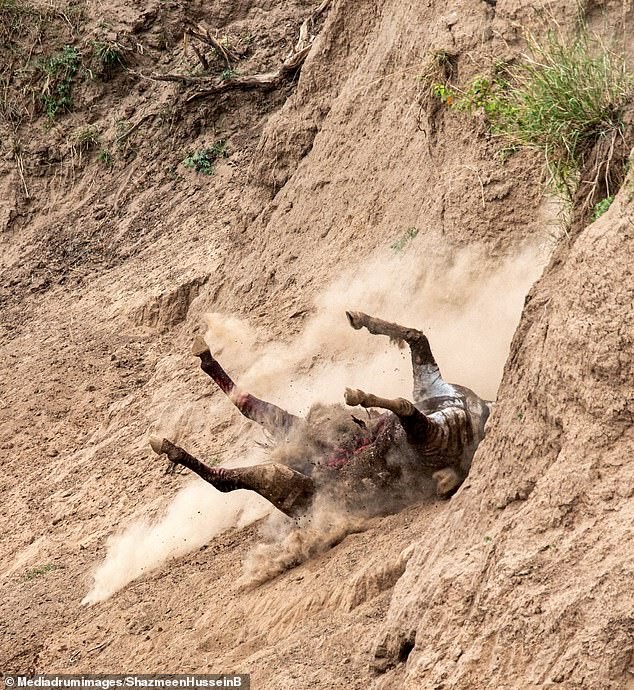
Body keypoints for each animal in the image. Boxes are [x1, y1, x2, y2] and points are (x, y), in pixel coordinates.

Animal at [151, 312, 492, 516]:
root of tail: (479, 411)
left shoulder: (290, 487)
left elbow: (228, 481)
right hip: (430, 389)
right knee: (415, 340)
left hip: (427, 431)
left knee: (406, 403)